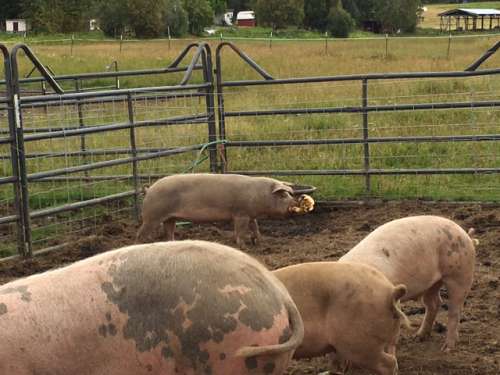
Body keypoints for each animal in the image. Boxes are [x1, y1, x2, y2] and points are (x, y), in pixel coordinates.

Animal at [135, 173, 302, 247]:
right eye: (282, 195)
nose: (294, 204)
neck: (259, 194)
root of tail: (149, 189)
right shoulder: (241, 214)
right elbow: (240, 230)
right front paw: (242, 246)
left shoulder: (250, 215)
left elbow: (255, 227)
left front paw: (260, 242)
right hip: (152, 216)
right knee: (141, 233)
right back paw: (140, 244)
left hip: (170, 217)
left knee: (169, 231)